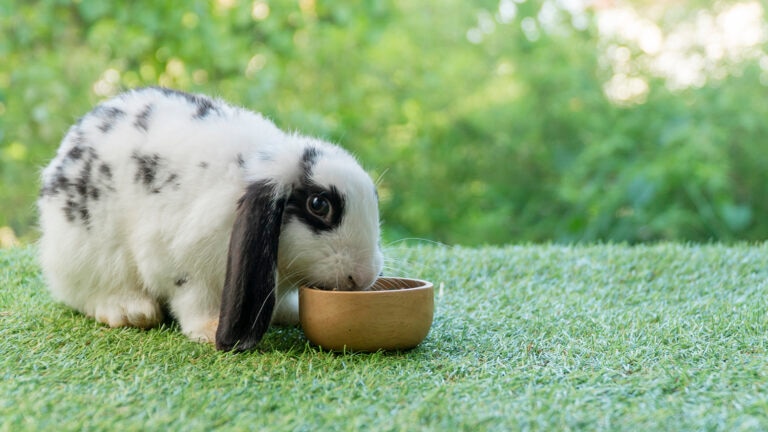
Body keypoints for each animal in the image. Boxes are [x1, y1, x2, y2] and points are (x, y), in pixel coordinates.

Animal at [38, 87, 383, 351]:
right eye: (319, 205)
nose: (363, 276)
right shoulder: (181, 263)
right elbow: (193, 300)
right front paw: (210, 328)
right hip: (89, 255)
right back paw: (131, 311)